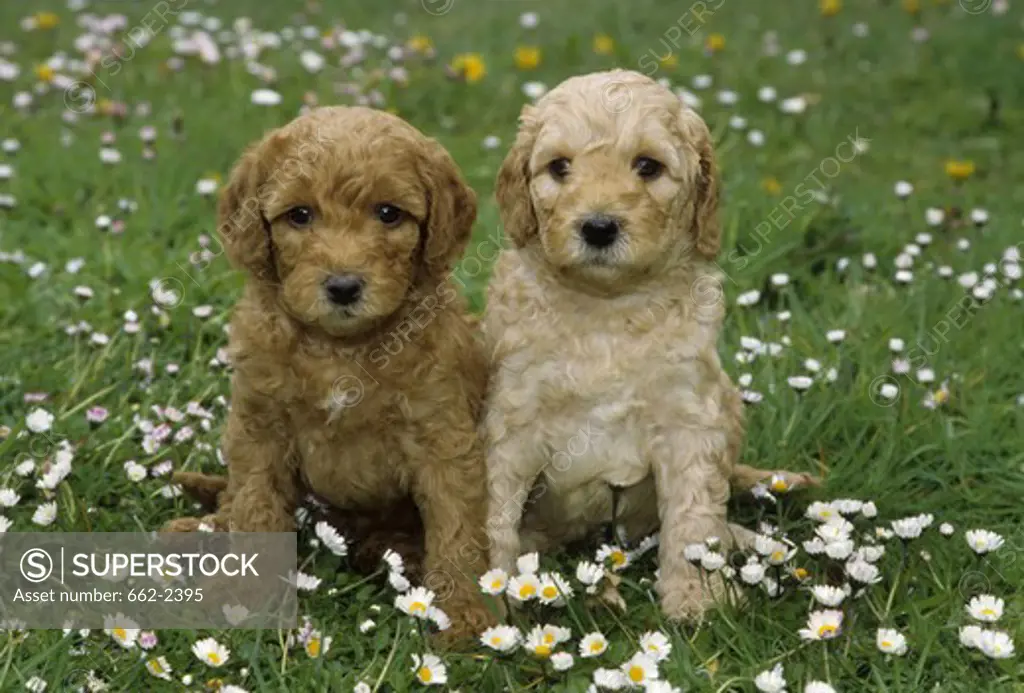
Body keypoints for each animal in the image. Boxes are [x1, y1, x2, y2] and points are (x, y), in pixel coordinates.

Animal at [167, 105, 495, 638]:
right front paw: (247, 600)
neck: (340, 348)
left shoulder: (443, 437)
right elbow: (255, 510)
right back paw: (201, 531)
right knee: (233, 498)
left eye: (389, 213)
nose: (343, 286)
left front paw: (467, 616)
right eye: (299, 215)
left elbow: (458, 529)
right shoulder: (260, 427)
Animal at [483, 70, 811, 618]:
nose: (598, 227)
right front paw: (487, 601)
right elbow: (491, 516)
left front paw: (696, 599)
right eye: (559, 167)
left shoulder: (689, 419)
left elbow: (693, 517)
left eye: (647, 166)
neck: (607, 310)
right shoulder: (512, 421)